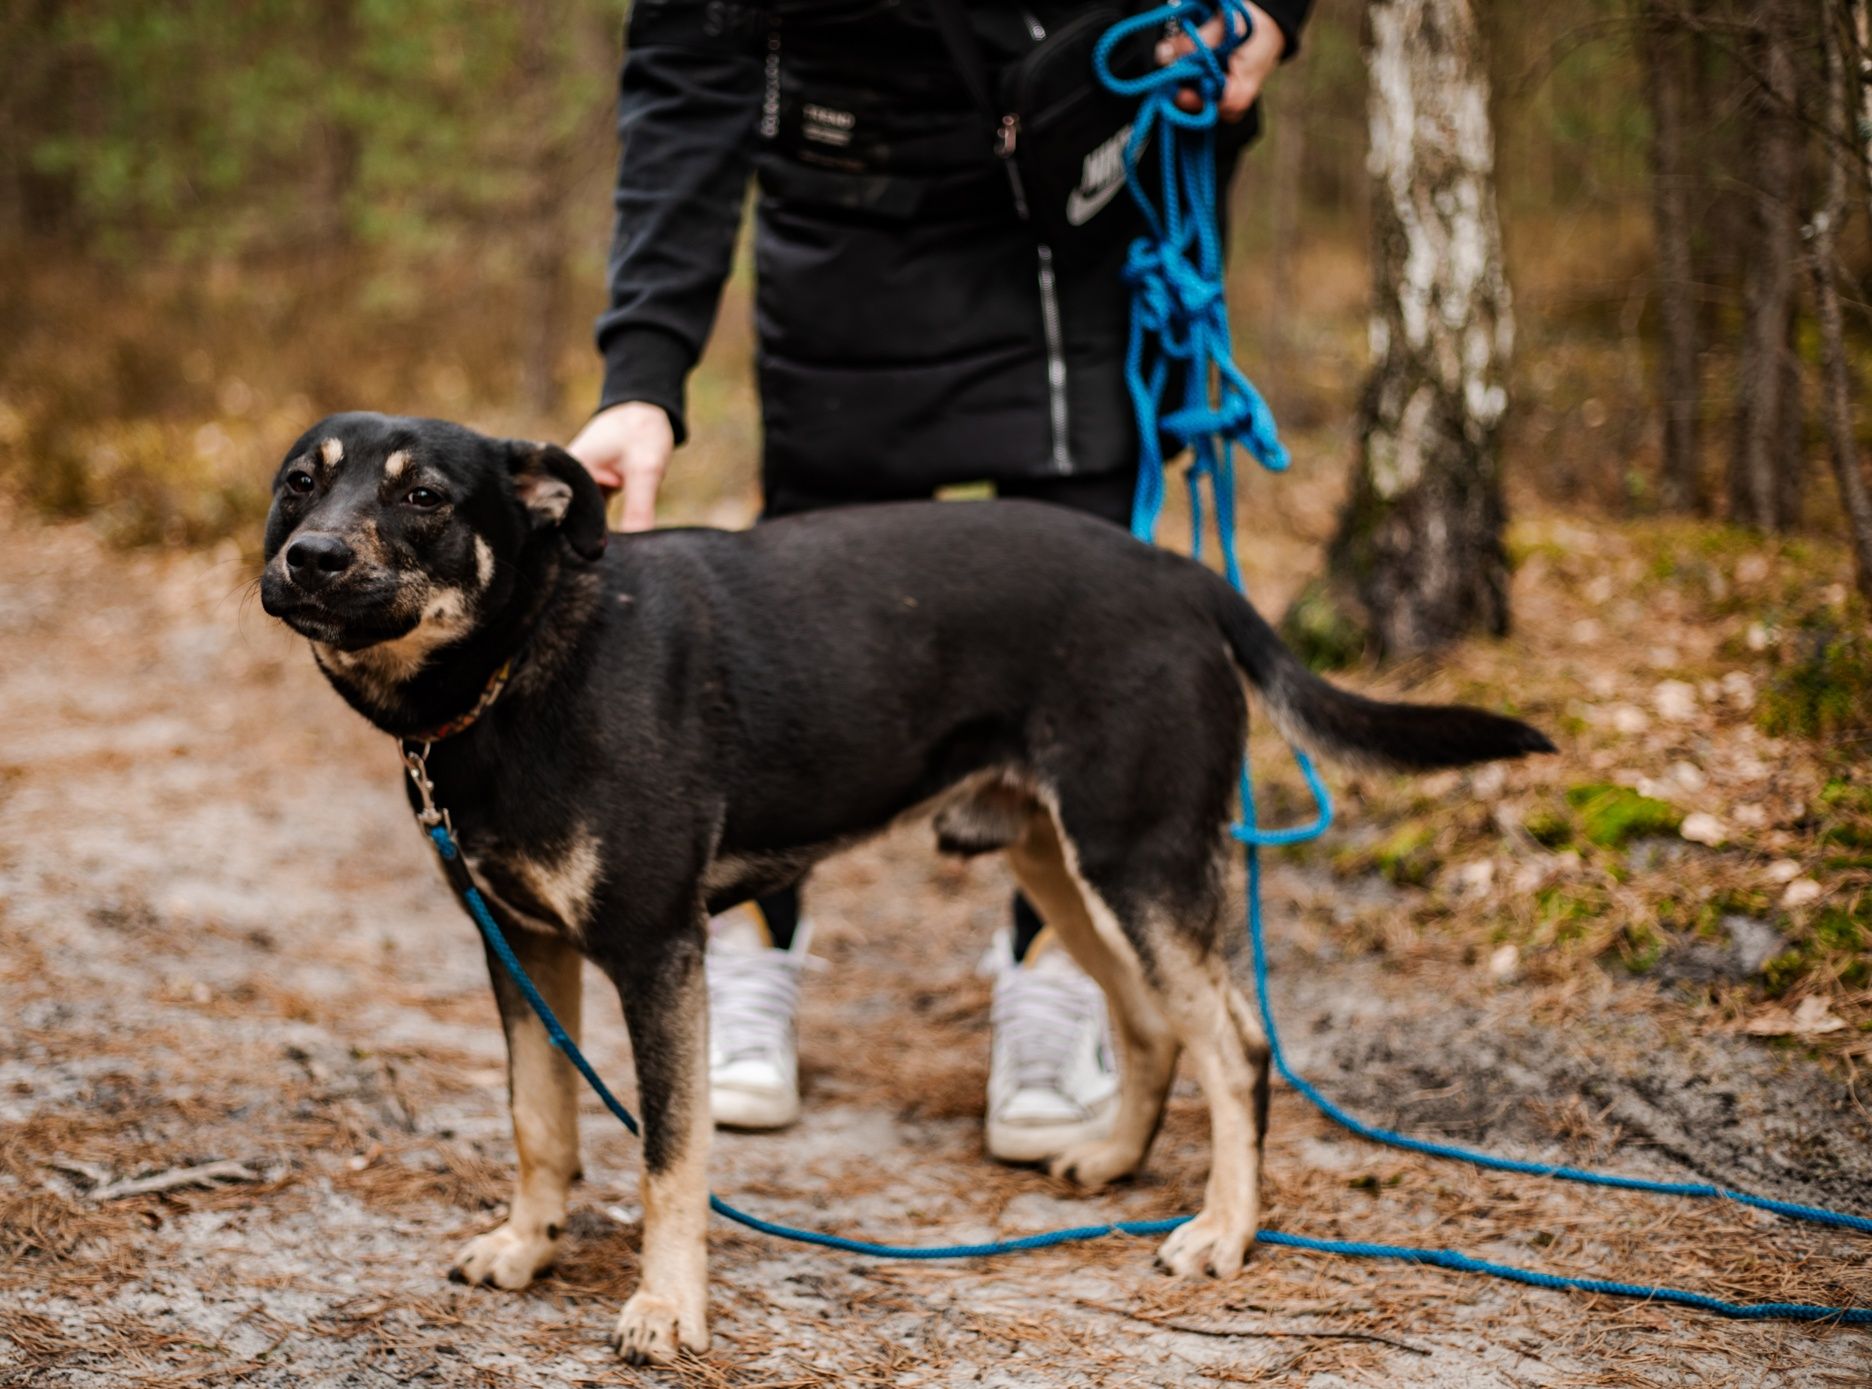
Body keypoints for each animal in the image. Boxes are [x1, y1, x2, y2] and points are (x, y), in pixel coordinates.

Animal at [263, 415, 1550, 1370]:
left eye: (426, 496)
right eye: (297, 485)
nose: (308, 559)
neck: (528, 660)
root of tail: (1187, 577)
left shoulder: (655, 950)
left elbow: (671, 1158)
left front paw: (666, 1308)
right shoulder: (522, 945)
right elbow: (538, 1120)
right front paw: (528, 1245)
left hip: (1137, 851)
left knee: (1234, 1042)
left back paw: (1222, 1231)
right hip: (1053, 854)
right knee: (1150, 1020)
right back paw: (1112, 1161)